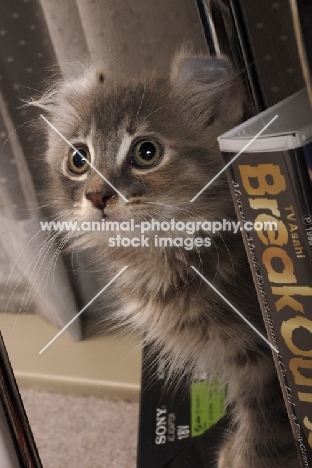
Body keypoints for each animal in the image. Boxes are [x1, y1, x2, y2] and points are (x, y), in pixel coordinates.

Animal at [32, 50, 300, 468]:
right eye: (78, 159)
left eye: (147, 152)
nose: (97, 195)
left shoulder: (265, 365)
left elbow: (265, 438)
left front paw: (241, 457)